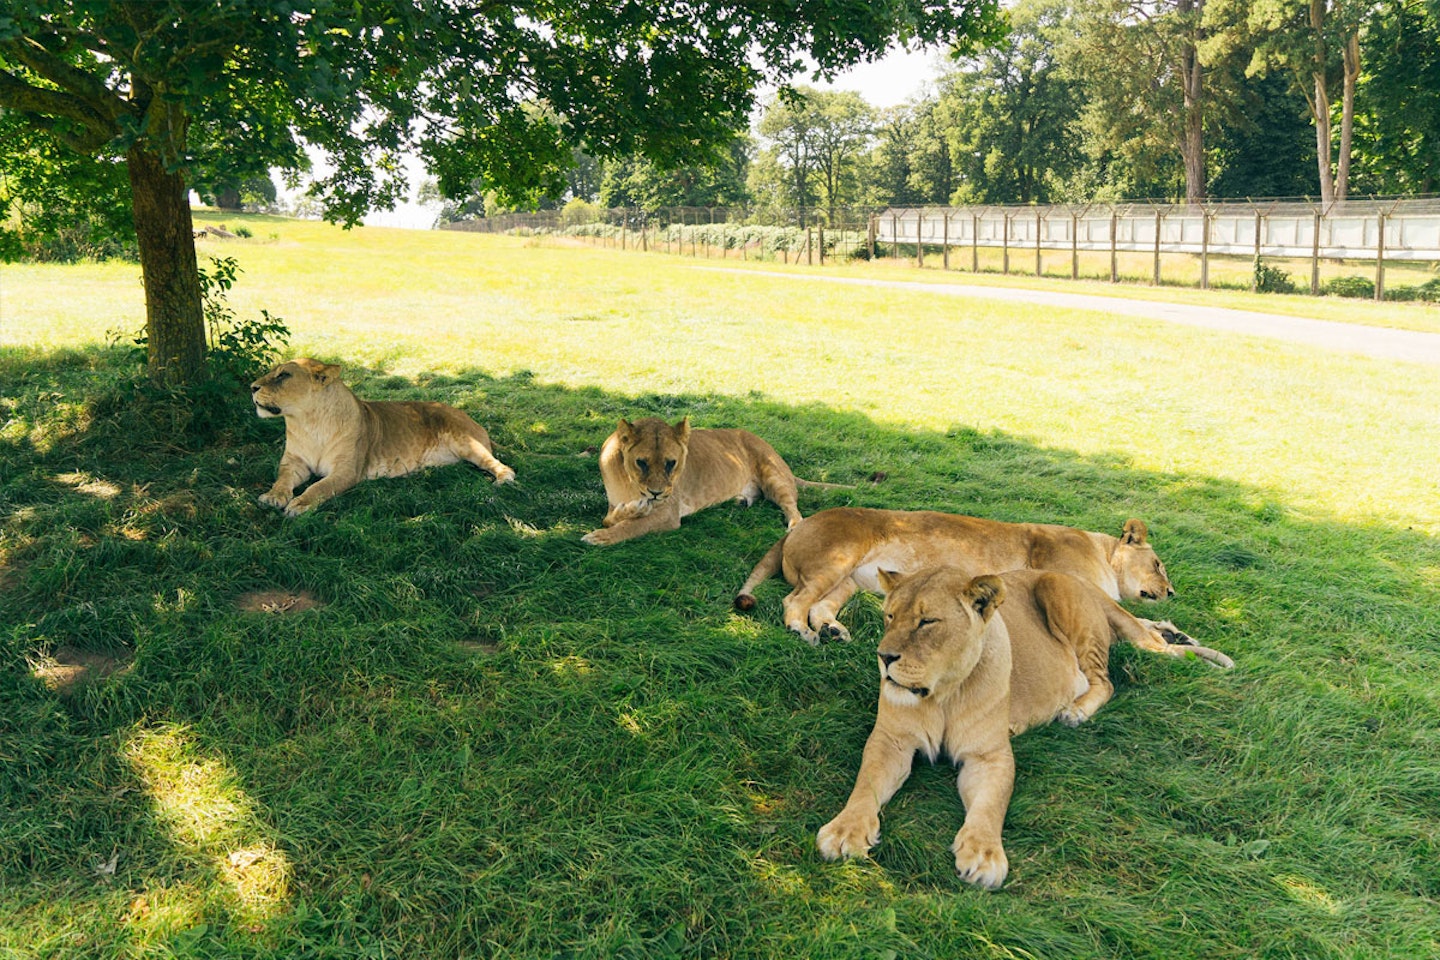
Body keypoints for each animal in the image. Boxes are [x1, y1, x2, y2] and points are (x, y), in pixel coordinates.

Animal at [250, 358, 515, 518]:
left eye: (283, 375)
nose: (252, 387)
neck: (308, 423)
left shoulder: (347, 470)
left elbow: (320, 486)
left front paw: (300, 504)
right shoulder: (294, 462)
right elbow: (282, 480)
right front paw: (273, 496)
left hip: (468, 443)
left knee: (501, 465)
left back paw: (502, 481)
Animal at [578, 414, 840, 544]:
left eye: (671, 463)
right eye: (641, 462)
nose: (656, 493)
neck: (631, 484)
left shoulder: (669, 513)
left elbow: (632, 526)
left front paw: (599, 537)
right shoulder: (614, 503)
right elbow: (611, 518)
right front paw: (632, 510)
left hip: (774, 476)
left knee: (791, 505)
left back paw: (794, 525)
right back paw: (740, 501)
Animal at [737, 509, 1175, 644]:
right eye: (1158, 565)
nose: (1171, 592)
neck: (1104, 554)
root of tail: (798, 524)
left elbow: (1138, 617)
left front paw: (1173, 632)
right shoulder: (1074, 582)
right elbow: (1132, 618)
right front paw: (1162, 636)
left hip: (849, 580)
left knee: (820, 605)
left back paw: (832, 630)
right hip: (836, 561)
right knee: (794, 600)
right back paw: (801, 631)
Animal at [817, 567, 1232, 892]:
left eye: (926, 621)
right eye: (889, 616)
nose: (883, 657)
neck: (943, 695)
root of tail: (1087, 583)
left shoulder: (990, 756)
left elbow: (990, 806)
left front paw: (984, 856)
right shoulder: (891, 741)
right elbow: (866, 785)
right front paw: (845, 831)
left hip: (1059, 592)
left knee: (1106, 679)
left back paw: (1076, 711)